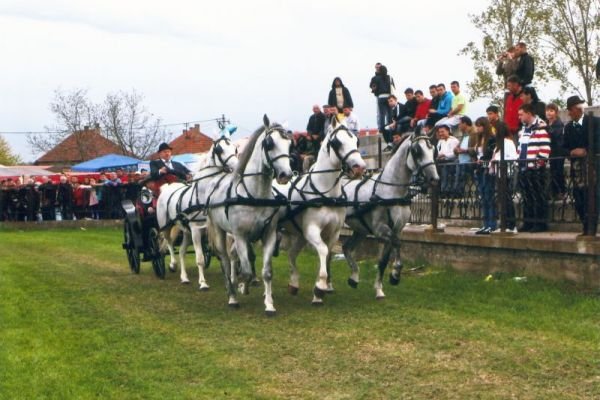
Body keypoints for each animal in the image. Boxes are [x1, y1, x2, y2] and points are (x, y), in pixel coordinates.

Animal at [156, 136, 238, 290]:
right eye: (219, 150)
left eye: (235, 148)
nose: (237, 166)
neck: (203, 196)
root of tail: (166, 188)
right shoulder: (196, 230)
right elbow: (199, 259)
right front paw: (203, 283)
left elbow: (229, 254)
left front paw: (231, 279)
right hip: (166, 225)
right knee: (168, 242)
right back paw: (172, 264)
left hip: (185, 231)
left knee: (182, 251)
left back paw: (184, 278)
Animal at [205, 115, 292, 316]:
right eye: (269, 143)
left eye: (289, 143)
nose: (286, 175)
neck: (254, 195)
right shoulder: (240, 235)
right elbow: (245, 271)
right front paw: (238, 290)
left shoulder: (268, 235)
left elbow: (266, 272)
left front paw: (269, 304)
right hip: (220, 231)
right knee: (225, 259)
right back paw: (231, 292)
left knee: (236, 257)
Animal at [274, 119, 366, 306]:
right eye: (337, 142)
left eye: (356, 141)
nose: (360, 168)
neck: (327, 194)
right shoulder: (312, 230)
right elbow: (323, 251)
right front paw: (320, 286)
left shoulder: (334, 232)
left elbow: (328, 253)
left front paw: (322, 289)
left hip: (299, 234)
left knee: (292, 254)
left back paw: (293, 283)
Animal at [342, 133, 436, 298]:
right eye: (417, 151)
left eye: (434, 149)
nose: (434, 178)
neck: (390, 191)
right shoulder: (381, 230)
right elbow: (396, 244)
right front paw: (395, 275)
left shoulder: (397, 229)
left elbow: (383, 261)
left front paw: (380, 288)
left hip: (360, 230)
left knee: (346, 247)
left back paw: (353, 278)